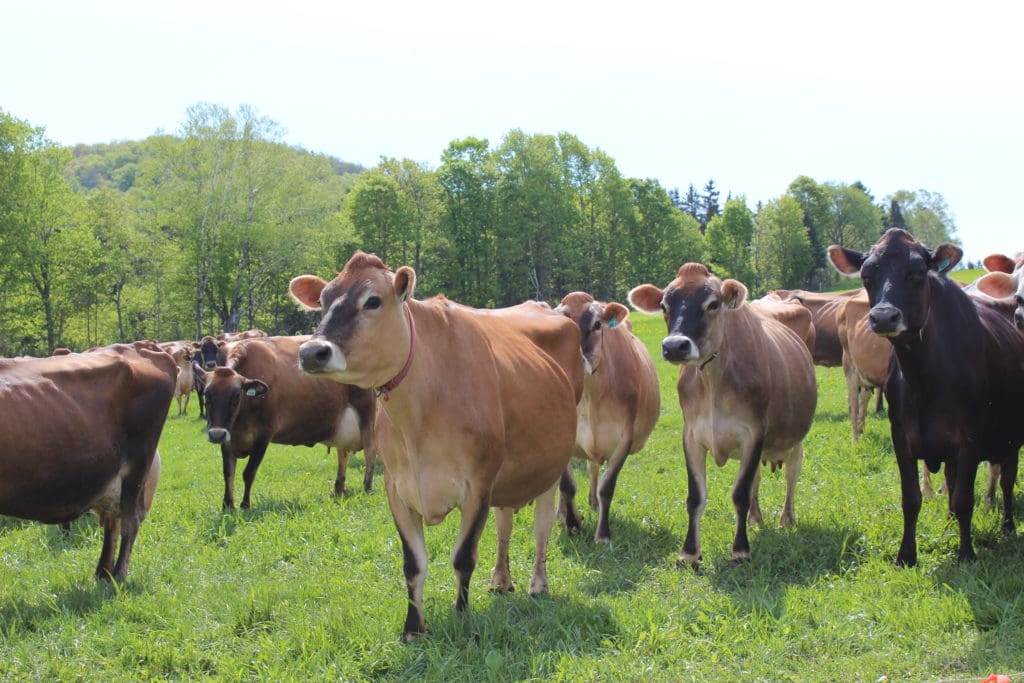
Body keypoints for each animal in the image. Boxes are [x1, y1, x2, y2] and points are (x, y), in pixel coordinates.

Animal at [0, 344, 175, 581]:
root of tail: (139, 347)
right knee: (113, 521)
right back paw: (103, 573)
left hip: (139, 464)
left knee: (130, 522)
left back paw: (118, 576)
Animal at [193, 335, 378, 507]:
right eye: (206, 395)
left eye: (237, 396)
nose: (216, 435)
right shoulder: (228, 437)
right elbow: (228, 473)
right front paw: (227, 506)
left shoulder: (264, 435)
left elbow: (249, 472)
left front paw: (245, 505)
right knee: (343, 453)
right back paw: (339, 489)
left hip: (367, 414)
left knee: (370, 452)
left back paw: (366, 487)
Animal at [288, 249, 585, 643]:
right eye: (322, 301)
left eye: (373, 300)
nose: (311, 352)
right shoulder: (397, 489)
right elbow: (413, 563)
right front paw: (413, 628)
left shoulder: (478, 486)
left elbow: (463, 556)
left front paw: (462, 619)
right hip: (510, 474)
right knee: (505, 523)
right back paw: (501, 580)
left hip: (551, 464)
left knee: (543, 524)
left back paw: (538, 584)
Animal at [557, 292, 659, 544]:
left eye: (597, 325)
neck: (590, 397)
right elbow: (567, 485)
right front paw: (572, 523)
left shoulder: (625, 438)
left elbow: (607, 487)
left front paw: (602, 534)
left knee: (593, 469)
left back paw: (592, 503)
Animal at [827, 227, 1024, 565]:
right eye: (866, 274)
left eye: (918, 272)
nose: (883, 317)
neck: (923, 377)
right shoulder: (901, 435)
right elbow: (911, 498)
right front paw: (906, 555)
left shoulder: (970, 436)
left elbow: (965, 498)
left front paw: (966, 553)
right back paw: (948, 523)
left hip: (1010, 438)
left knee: (1006, 481)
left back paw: (1008, 527)